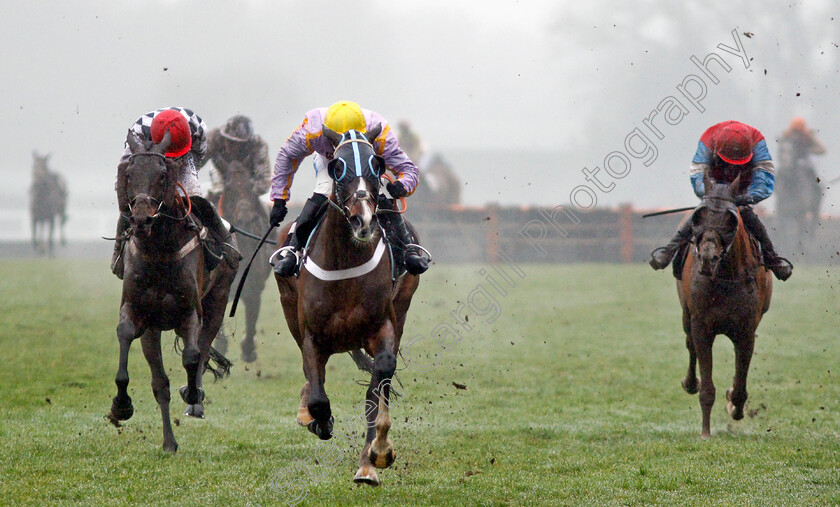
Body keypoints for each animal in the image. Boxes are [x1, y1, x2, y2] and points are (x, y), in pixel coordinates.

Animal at [110, 131, 238, 452]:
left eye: (162, 174)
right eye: (129, 174)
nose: (141, 220)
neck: (159, 251)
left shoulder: (190, 312)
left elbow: (192, 356)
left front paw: (192, 393)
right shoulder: (140, 313)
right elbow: (127, 339)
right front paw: (121, 405)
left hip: (218, 300)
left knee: (202, 349)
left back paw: (195, 398)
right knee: (161, 382)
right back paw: (169, 440)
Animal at [213, 161, 272, 364]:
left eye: (251, 188)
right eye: (229, 189)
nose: (246, 217)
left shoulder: (254, 287)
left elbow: (252, 318)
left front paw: (248, 350)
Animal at [274, 125, 420, 486]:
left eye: (377, 164)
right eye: (337, 166)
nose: (362, 220)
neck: (345, 262)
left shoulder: (383, 327)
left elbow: (378, 385)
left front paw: (374, 456)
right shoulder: (312, 336)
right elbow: (317, 392)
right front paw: (318, 419)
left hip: (403, 304)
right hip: (288, 306)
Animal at [680, 174, 772, 436]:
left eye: (731, 219)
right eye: (698, 217)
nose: (708, 258)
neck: (724, 279)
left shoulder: (746, 330)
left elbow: (740, 385)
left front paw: (734, 403)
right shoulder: (701, 326)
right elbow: (707, 386)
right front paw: (705, 432)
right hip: (686, 314)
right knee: (689, 344)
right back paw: (690, 383)